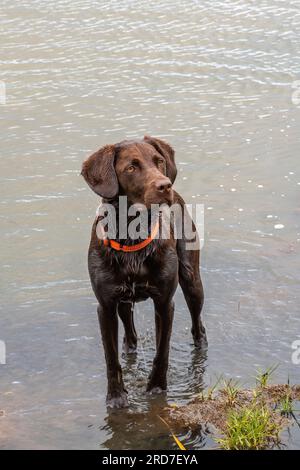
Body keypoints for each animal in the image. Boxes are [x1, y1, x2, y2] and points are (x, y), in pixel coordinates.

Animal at [81, 136, 206, 408]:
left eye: (158, 161)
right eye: (131, 167)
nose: (165, 185)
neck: (132, 235)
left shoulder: (165, 303)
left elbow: (162, 352)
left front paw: (157, 389)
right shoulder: (105, 306)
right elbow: (111, 358)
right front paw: (116, 397)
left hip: (192, 280)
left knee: (198, 323)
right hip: (123, 300)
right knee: (128, 325)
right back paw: (129, 346)